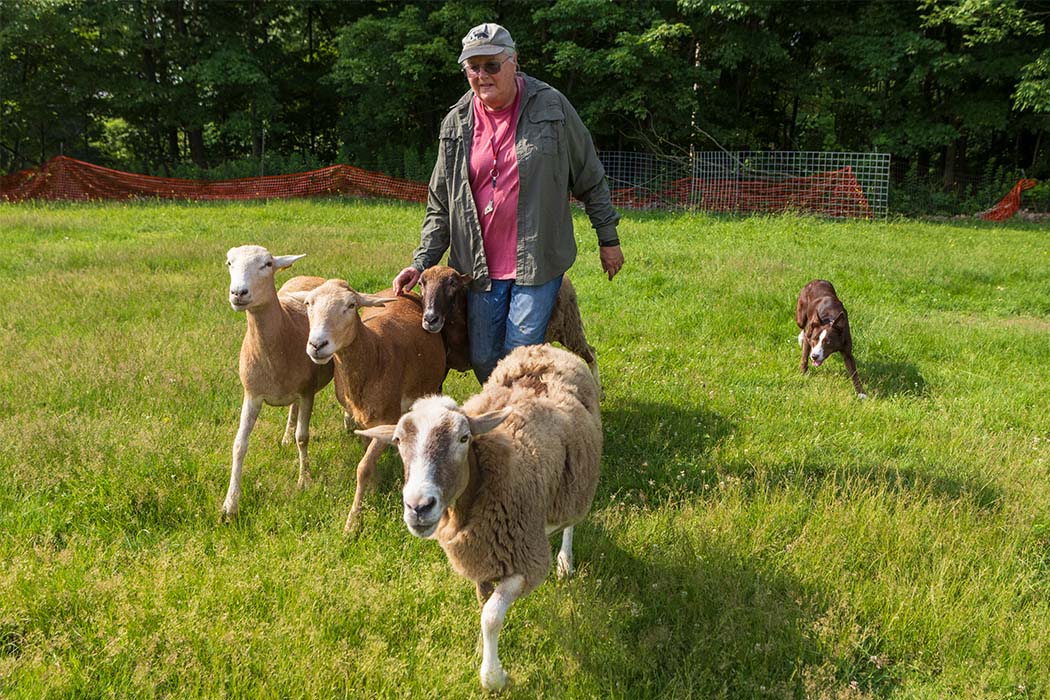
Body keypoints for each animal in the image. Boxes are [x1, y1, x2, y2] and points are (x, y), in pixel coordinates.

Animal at [287, 279, 447, 531]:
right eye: (308, 304)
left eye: (351, 305)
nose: (317, 344)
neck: (374, 354)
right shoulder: (361, 419)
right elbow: (366, 456)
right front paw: (374, 487)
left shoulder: (389, 417)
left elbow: (362, 467)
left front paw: (353, 522)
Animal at [359, 344, 604, 688]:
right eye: (397, 440)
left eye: (464, 438)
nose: (418, 506)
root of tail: (542, 347)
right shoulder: (480, 555)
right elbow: (482, 604)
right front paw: (480, 650)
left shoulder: (525, 562)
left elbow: (491, 616)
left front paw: (493, 677)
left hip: (578, 480)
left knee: (571, 522)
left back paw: (565, 561)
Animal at [415, 266, 600, 392]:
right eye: (421, 283)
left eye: (453, 283)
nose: (430, 318)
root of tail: (565, 278)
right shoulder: (441, 370)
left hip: (570, 327)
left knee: (590, 352)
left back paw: (599, 392)